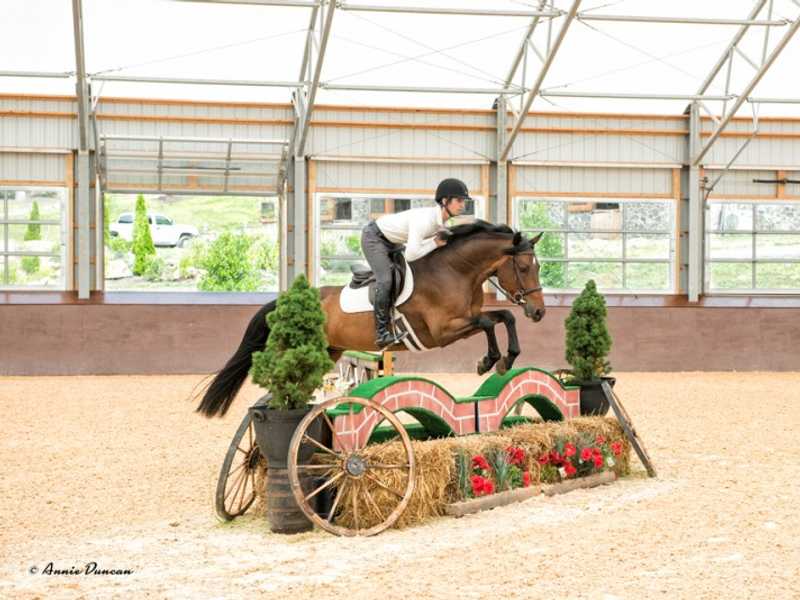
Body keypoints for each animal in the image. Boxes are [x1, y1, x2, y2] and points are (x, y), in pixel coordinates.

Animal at [196, 220, 544, 418]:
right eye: (523, 267)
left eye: (538, 267)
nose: (538, 311)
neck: (456, 271)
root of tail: (279, 305)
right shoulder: (442, 331)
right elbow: (489, 323)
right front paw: (490, 361)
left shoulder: (466, 319)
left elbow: (504, 317)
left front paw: (506, 359)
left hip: (329, 351)